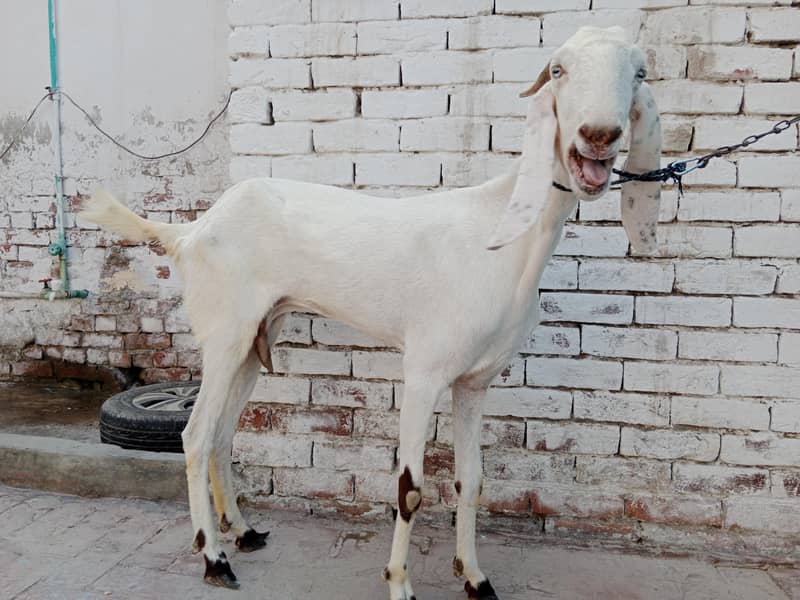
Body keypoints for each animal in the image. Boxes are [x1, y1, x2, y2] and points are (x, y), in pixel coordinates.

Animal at [81, 26, 661, 600]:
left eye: (638, 72)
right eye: (558, 70)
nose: (599, 135)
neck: (500, 236)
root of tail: (191, 230)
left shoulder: (475, 380)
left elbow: (471, 479)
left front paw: (475, 577)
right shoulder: (424, 370)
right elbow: (410, 488)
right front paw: (400, 583)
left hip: (253, 339)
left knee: (223, 434)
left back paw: (243, 533)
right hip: (224, 333)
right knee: (196, 436)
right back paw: (214, 558)